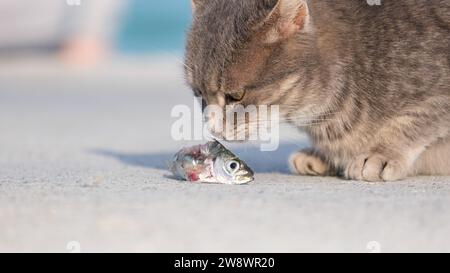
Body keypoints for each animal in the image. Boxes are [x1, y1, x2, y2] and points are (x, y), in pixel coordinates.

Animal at [184, 0, 450, 181]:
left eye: (236, 95)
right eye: (199, 94)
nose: (214, 130)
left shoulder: (438, 95)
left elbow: (414, 121)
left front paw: (379, 153)